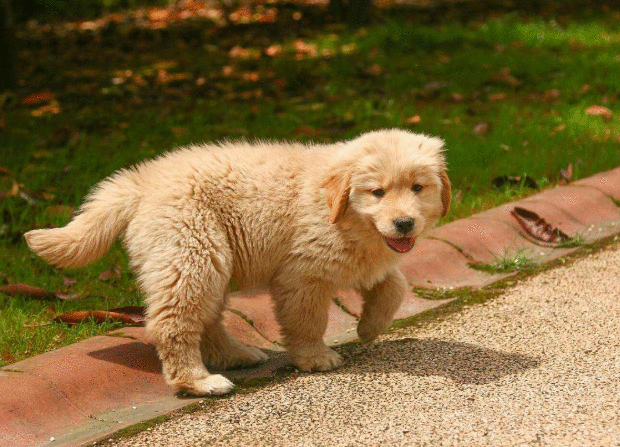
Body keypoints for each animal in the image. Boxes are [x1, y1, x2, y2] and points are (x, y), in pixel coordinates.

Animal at [24, 129, 450, 396]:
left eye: (418, 187)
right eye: (377, 192)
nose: (405, 223)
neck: (340, 210)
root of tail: (142, 182)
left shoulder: (358, 258)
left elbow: (394, 284)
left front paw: (369, 327)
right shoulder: (303, 274)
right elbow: (308, 320)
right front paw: (314, 357)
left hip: (207, 260)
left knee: (207, 318)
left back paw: (235, 355)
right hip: (191, 252)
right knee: (173, 323)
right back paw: (197, 382)